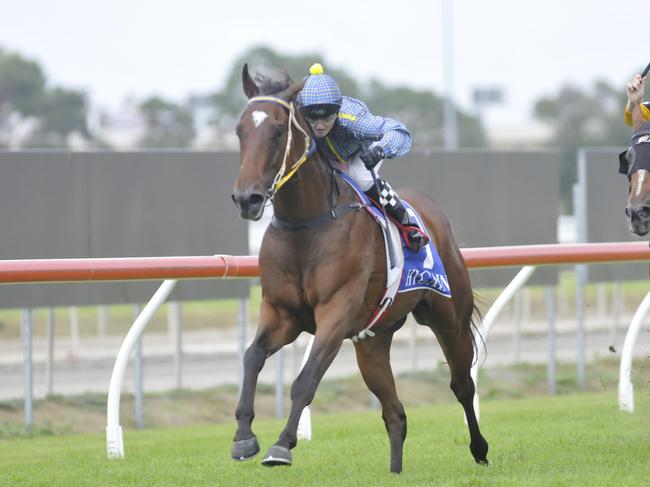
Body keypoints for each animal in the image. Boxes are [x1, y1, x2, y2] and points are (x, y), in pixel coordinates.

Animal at [228, 63, 486, 472]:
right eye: (240, 130)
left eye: (278, 130)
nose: (247, 198)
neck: (307, 224)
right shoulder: (281, 312)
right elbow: (251, 357)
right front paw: (243, 437)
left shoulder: (335, 313)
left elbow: (306, 379)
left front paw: (282, 445)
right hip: (373, 341)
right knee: (395, 413)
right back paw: (395, 472)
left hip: (449, 319)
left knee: (462, 385)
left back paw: (480, 449)